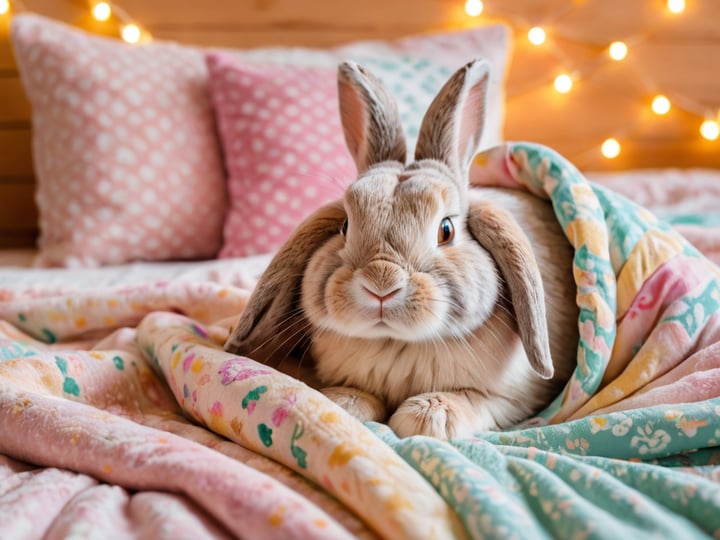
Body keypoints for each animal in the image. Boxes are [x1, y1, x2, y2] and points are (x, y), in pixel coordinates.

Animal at [225, 58, 578, 440]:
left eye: (446, 230)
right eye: (344, 227)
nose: (381, 284)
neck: (397, 342)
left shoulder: (515, 399)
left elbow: (475, 401)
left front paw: (428, 415)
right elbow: (355, 395)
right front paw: (343, 402)